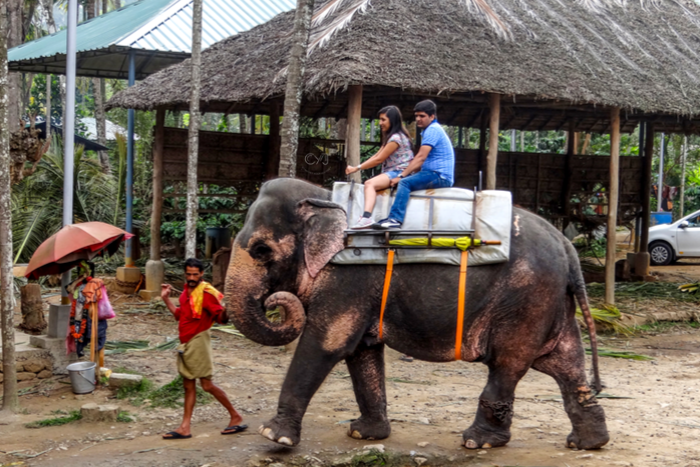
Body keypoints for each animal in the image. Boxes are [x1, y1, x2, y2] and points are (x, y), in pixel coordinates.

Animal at [224, 177, 608, 452]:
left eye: (261, 250)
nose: (274, 302)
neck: (324, 197)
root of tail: (567, 247)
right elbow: (362, 351)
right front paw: (364, 435)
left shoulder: (348, 277)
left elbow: (327, 344)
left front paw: (274, 437)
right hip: (551, 303)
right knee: (565, 364)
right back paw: (588, 443)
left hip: (525, 301)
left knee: (507, 364)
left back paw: (477, 441)